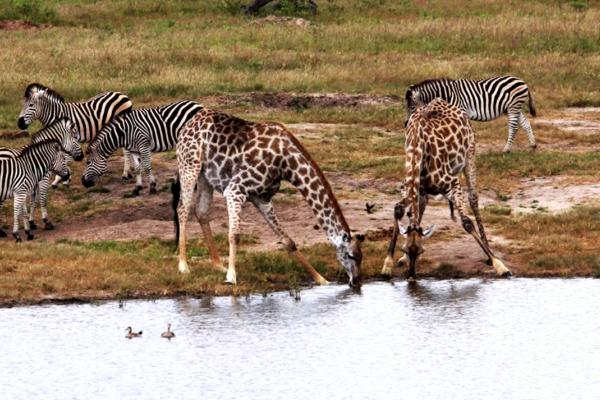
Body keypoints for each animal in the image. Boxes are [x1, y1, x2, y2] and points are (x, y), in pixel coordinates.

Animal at [171, 108, 364, 286]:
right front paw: (232, 277)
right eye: (350, 255)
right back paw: (183, 266)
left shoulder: (262, 197)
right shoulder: (235, 190)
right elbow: (234, 234)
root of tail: (190, 121)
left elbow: (288, 241)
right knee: (183, 209)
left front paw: (321, 279)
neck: (286, 164)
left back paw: (218, 265)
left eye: (361, 256)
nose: (356, 281)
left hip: (206, 177)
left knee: (201, 212)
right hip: (189, 166)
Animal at [382, 97, 508, 278]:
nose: (412, 276)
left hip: (470, 154)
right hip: (425, 189)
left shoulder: (453, 184)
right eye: (405, 249)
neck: (417, 149)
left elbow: (467, 222)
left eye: (421, 251)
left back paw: (489, 253)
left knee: (473, 197)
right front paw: (388, 264)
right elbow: (399, 210)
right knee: (421, 206)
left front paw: (499, 265)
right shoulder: (411, 188)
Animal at [404, 75, 540, 152]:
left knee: (513, 127)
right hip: (513, 108)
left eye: (411, 107)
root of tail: (522, 81)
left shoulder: (461, 110)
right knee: (525, 122)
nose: (406, 124)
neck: (447, 95)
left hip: (513, 106)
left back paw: (506, 149)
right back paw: (533, 145)